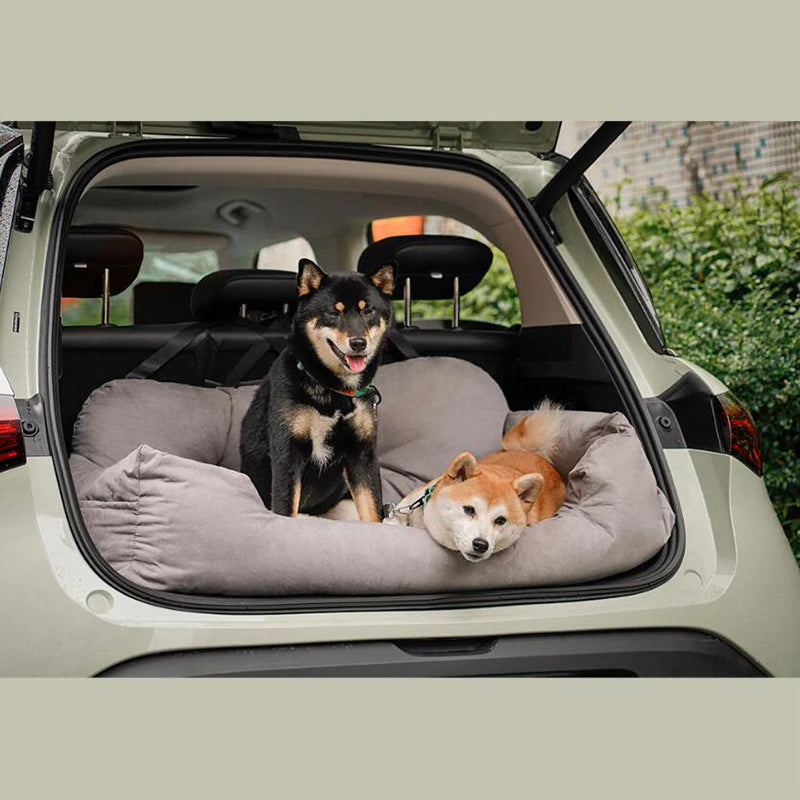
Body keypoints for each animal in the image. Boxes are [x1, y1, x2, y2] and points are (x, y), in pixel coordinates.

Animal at [241, 256, 396, 520]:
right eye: (334, 311)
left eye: (368, 311)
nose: (358, 343)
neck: (333, 389)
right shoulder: (287, 453)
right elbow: (285, 508)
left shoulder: (362, 455)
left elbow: (373, 512)